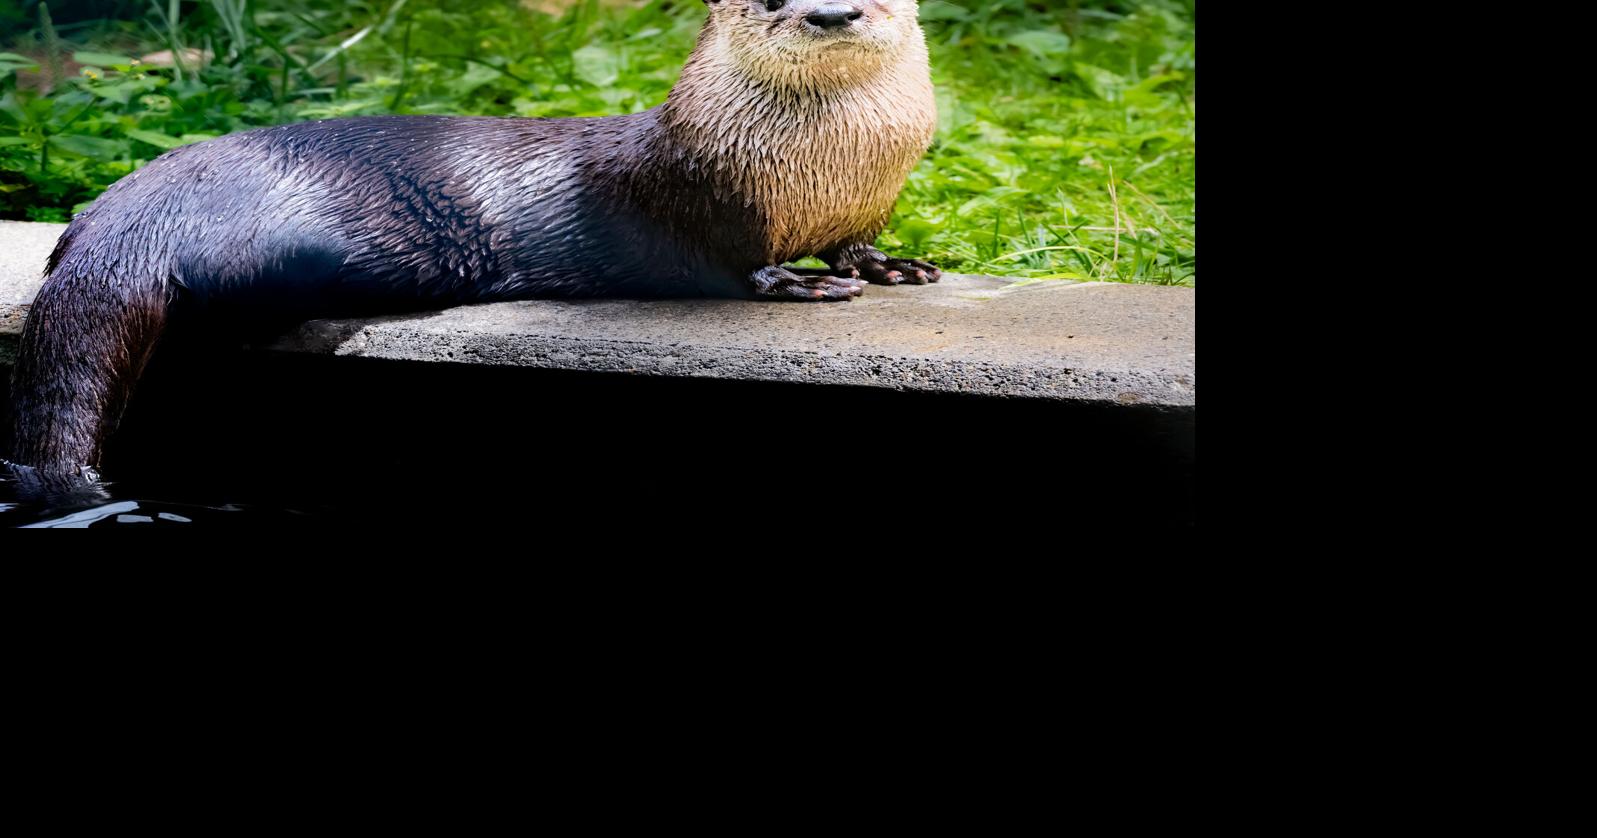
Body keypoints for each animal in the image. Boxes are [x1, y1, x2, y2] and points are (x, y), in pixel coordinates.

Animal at [4, 0, 940, 489]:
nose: (829, 11)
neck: (820, 174)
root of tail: (126, 219)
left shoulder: (862, 204)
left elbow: (856, 244)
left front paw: (886, 265)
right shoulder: (696, 199)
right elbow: (727, 261)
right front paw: (794, 282)